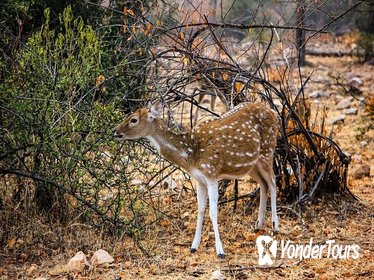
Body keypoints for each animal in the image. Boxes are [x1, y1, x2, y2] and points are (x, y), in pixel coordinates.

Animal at [112, 101, 280, 258]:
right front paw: (194, 246)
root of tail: (273, 112)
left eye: (133, 119)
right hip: (252, 165)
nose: (115, 132)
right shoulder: (199, 179)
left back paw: (275, 227)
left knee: (272, 182)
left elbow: (213, 212)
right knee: (263, 184)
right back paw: (258, 225)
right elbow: (200, 209)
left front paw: (220, 251)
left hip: (267, 150)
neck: (191, 154)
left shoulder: (212, 173)